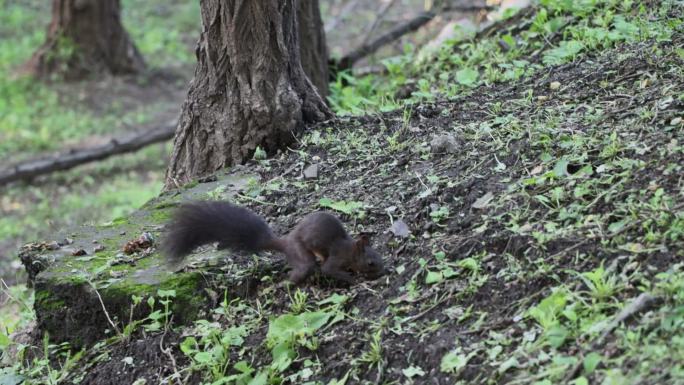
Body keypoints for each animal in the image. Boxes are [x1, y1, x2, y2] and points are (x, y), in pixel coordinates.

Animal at [160, 201, 384, 284]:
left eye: (380, 256)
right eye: (371, 262)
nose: (385, 271)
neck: (350, 249)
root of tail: (286, 241)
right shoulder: (337, 257)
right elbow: (329, 270)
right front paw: (353, 279)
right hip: (300, 253)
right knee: (304, 267)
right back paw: (285, 283)